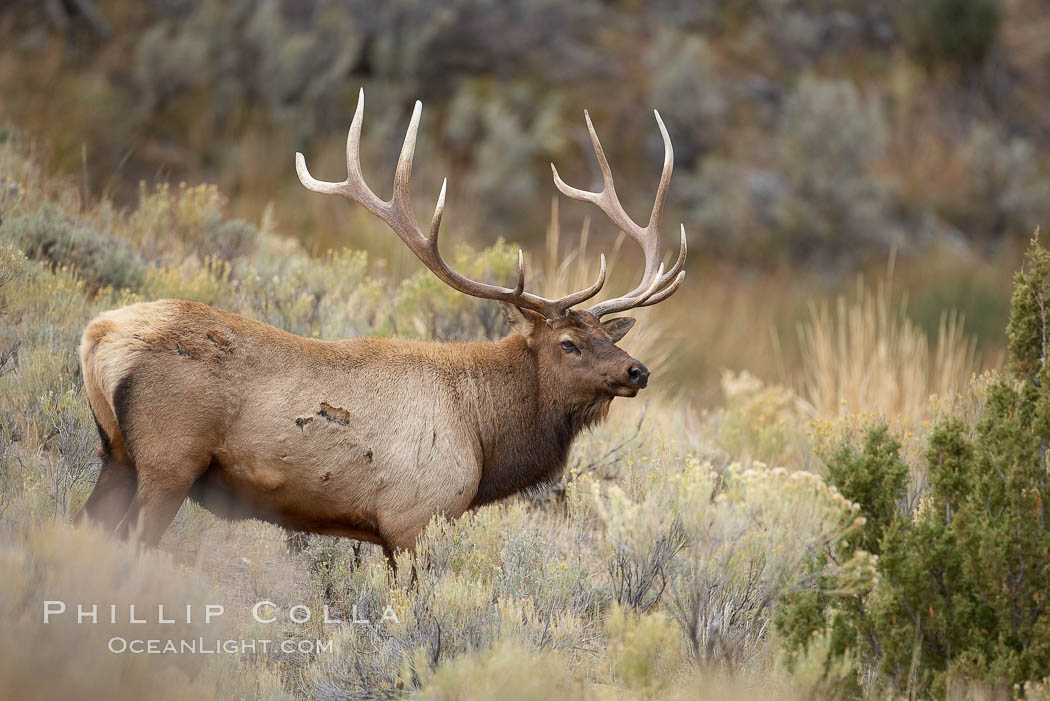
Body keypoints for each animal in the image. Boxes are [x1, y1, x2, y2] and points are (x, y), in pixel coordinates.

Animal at [81, 91, 688, 558]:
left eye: (608, 336)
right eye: (568, 343)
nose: (637, 371)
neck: (484, 438)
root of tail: (98, 338)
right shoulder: (414, 519)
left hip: (116, 454)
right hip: (169, 458)